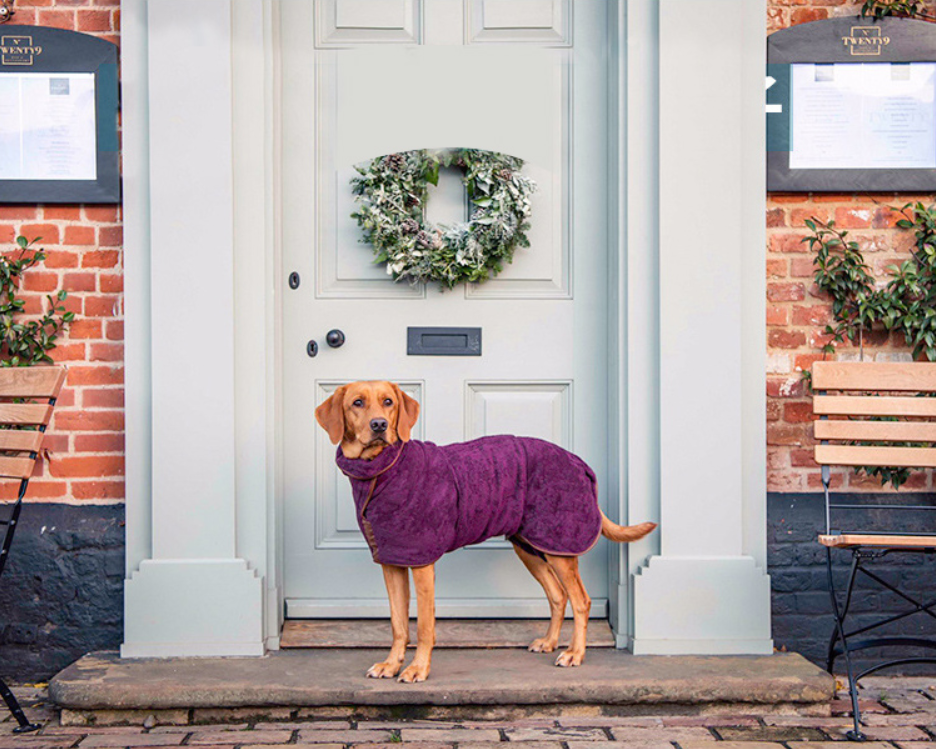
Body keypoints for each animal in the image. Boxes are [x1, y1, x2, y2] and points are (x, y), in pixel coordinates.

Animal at [316, 382, 660, 680]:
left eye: (388, 402)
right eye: (357, 403)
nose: (379, 425)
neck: (381, 470)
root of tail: (578, 461)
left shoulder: (422, 564)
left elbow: (424, 625)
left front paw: (417, 669)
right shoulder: (392, 562)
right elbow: (398, 623)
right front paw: (391, 665)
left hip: (559, 546)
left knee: (581, 600)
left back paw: (575, 653)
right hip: (531, 546)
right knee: (557, 595)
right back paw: (550, 642)